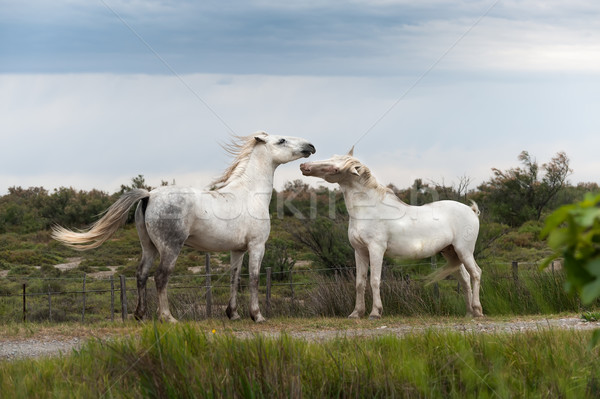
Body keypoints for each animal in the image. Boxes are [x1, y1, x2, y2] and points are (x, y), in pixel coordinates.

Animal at [52, 133, 316, 324]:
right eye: (281, 140)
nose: (310, 146)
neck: (249, 193)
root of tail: (149, 195)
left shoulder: (237, 250)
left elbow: (234, 279)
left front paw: (233, 314)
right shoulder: (257, 246)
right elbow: (253, 279)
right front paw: (257, 316)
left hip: (149, 248)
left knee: (141, 275)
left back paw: (140, 315)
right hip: (170, 248)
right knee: (160, 277)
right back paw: (168, 318)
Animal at [300, 148, 482, 320]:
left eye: (336, 168)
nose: (304, 166)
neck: (368, 209)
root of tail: (472, 211)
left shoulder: (376, 249)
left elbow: (374, 280)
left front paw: (375, 312)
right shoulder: (359, 251)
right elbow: (360, 283)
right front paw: (356, 313)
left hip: (464, 251)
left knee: (475, 274)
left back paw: (478, 311)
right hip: (451, 253)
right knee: (465, 279)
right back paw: (469, 313)